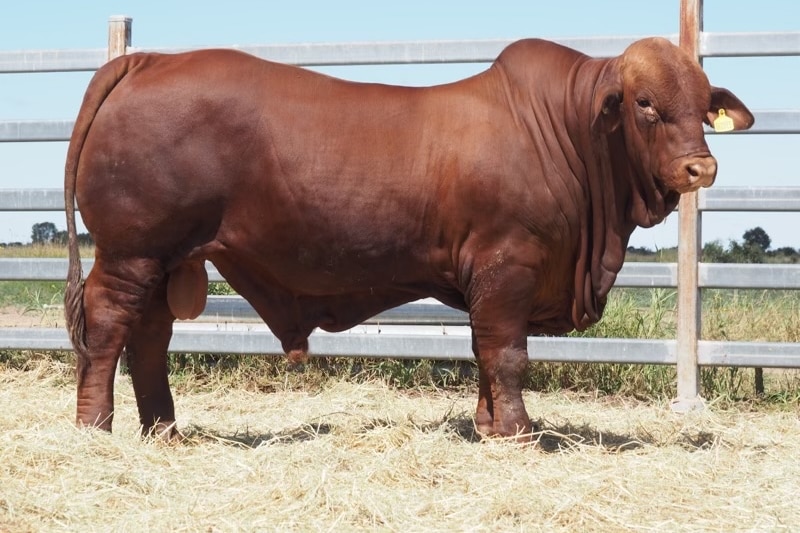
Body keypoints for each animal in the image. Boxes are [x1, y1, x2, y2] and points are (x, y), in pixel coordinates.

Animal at [65, 36, 752, 436]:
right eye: (644, 102)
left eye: (702, 104)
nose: (702, 167)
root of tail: (148, 59)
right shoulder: (508, 264)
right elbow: (508, 354)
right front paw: (520, 432)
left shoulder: (490, 281)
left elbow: (484, 351)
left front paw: (488, 426)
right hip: (130, 252)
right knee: (108, 326)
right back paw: (96, 425)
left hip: (165, 259)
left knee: (150, 337)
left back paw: (163, 429)